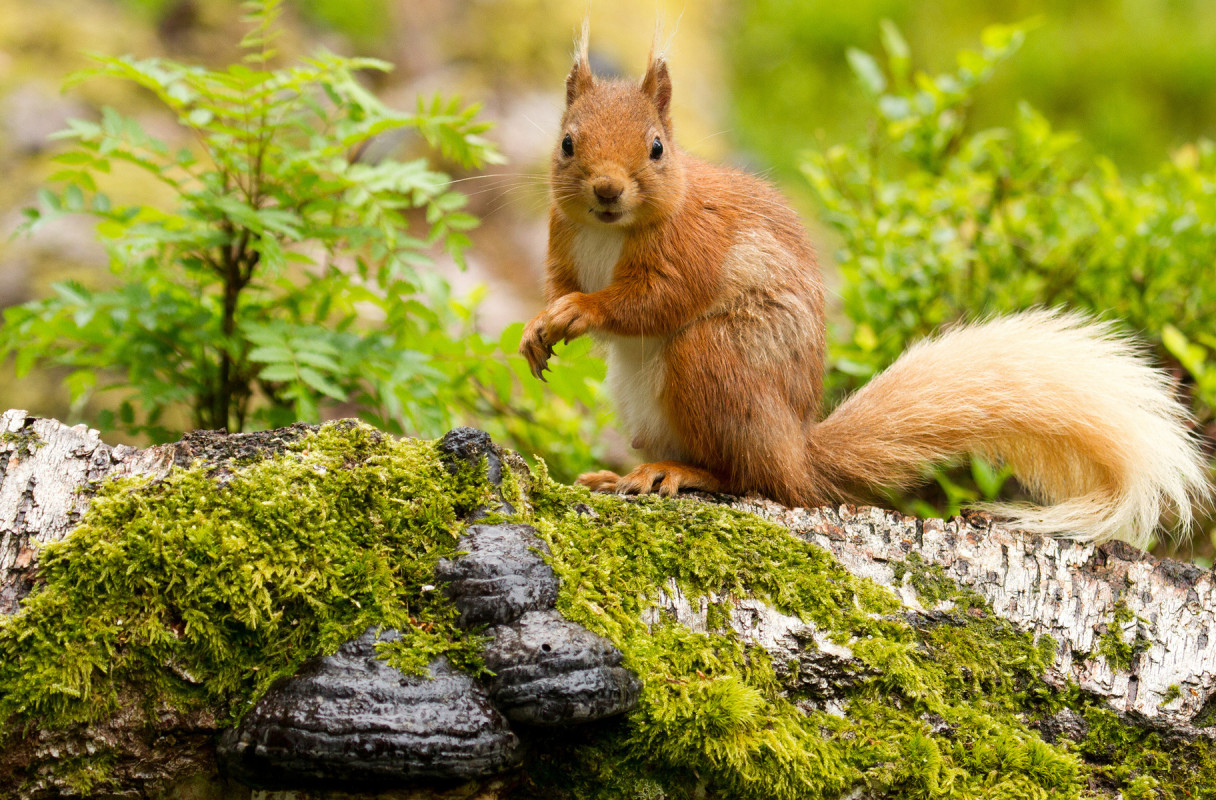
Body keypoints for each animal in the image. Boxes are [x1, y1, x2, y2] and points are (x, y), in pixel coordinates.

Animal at [518, 34, 1211, 544]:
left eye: (658, 148)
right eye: (567, 142)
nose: (608, 190)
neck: (610, 231)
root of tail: (794, 449)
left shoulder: (693, 250)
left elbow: (653, 301)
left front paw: (582, 311)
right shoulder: (561, 240)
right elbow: (558, 286)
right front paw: (539, 326)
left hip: (713, 364)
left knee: (748, 481)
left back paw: (678, 473)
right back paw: (613, 475)